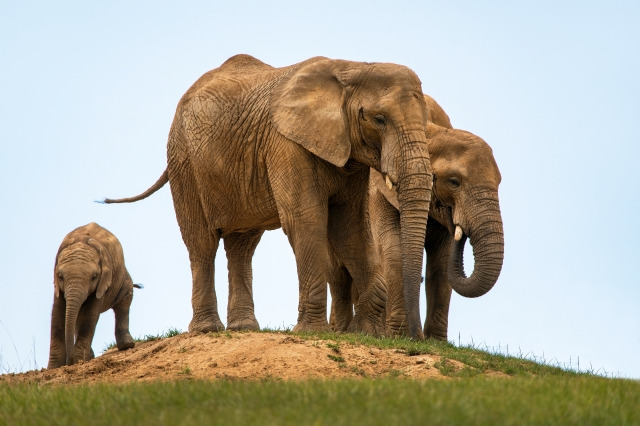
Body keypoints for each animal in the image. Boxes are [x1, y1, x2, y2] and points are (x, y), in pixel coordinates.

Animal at [47, 221, 138, 368]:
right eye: (60, 276)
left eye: (94, 277)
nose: (69, 362)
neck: (81, 242)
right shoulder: (58, 287)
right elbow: (57, 314)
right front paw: (54, 367)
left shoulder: (103, 282)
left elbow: (89, 316)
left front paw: (79, 361)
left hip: (124, 280)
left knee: (124, 304)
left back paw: (127, 345)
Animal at [105, 54, 436, 340]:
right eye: (379, 120)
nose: (415, 339)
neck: (352, 67)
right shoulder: (287, 143)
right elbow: (305, 220)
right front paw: (311, 333)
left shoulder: (348, 154)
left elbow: (349, 228)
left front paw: (368, 331)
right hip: (183, 159)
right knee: (201, 242)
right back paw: (206, 330)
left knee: (242, 245)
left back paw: (243, 328)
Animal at [330, 95, 504, 340]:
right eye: (454, 182)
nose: (459, 225)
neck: (428, 133)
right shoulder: (378, 191)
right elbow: (393, 250)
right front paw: (399, 335)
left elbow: (441, 262)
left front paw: (435, 341)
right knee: (340, 272)